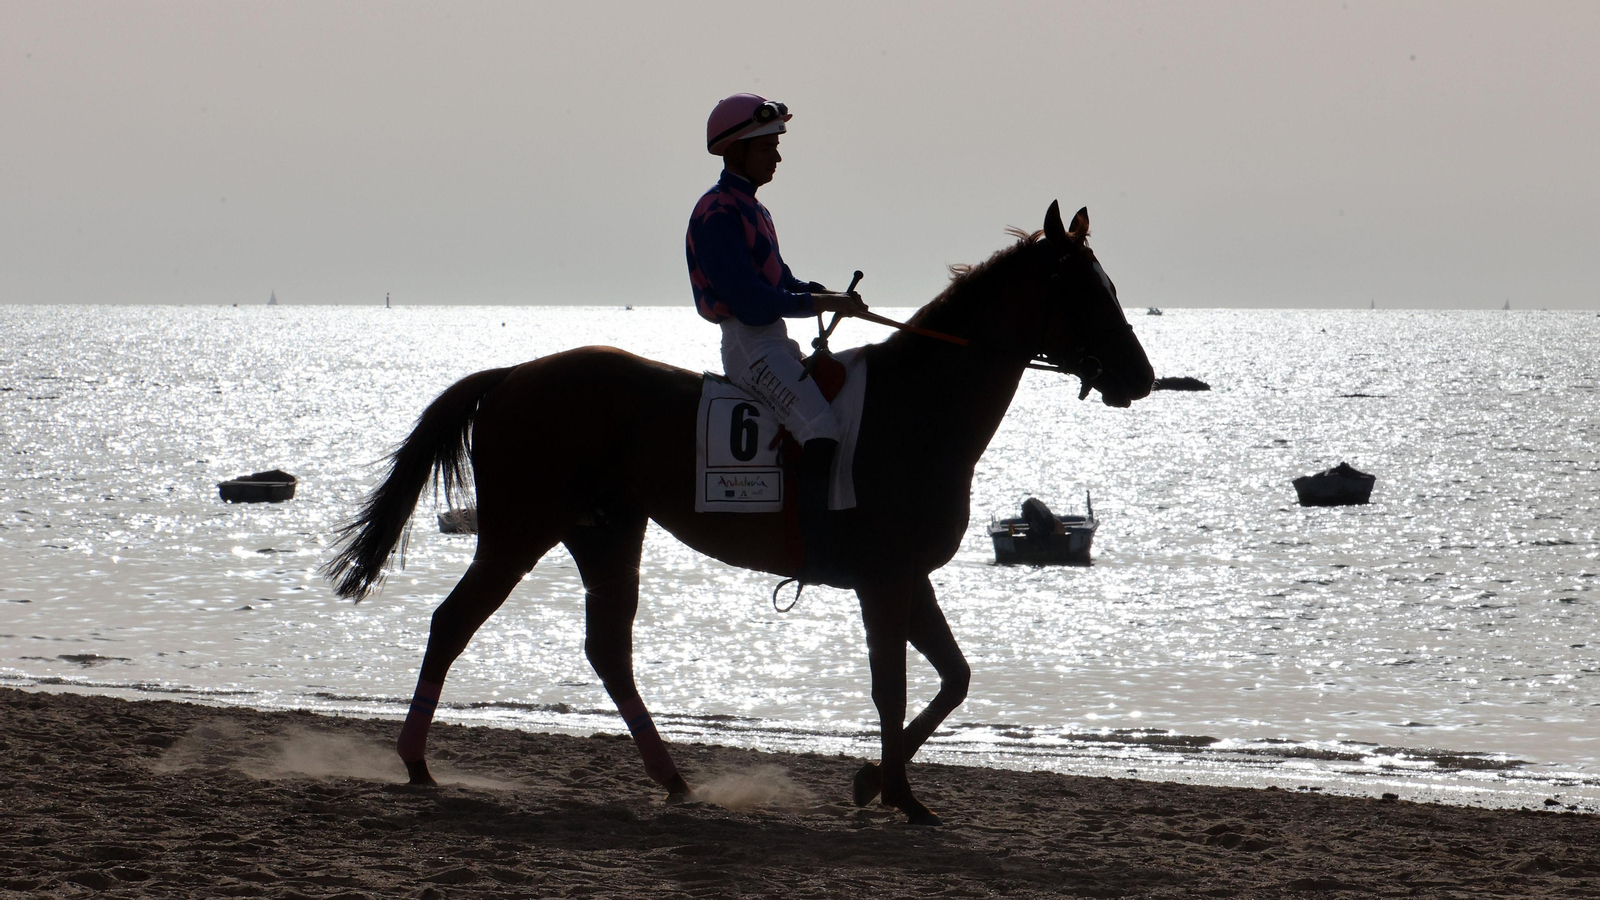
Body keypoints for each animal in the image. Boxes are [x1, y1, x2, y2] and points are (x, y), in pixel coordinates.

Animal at [322, 201, 1153, 825]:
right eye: (1087, 291)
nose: (1141, 376)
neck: (915, 409)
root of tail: (514, 375)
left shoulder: (907, 576)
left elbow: (954, 677)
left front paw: (874, 783)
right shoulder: (884, 580)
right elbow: (893, 687)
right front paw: (899, 795)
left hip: (606, 532)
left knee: (608, 651)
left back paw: (674, 780)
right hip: (521, 530)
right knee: (453, 623)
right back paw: (417, 763)